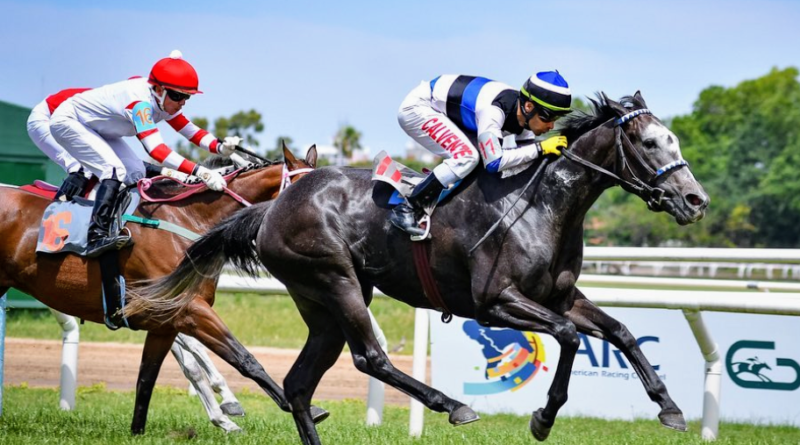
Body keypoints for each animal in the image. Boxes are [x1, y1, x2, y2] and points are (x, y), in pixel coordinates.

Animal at [0, 145, 328, 435]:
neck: (188, 219)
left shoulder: (166, 320)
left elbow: (148, 377)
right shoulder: (188, 309)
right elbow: (244, 360)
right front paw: (300, 408)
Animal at [128, 92, 709, 444]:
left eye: (676, 140)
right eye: (650, 142)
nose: (695, 200)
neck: (543, 205)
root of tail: (272, 207)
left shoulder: (561, 297)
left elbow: (621, 331)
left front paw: (670, 408)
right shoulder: (496, 303)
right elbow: (568, 337)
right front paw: (544, 417)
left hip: (320, 303)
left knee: (299, 384)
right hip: (337, 281)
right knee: (370, 358)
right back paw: (451, 404)